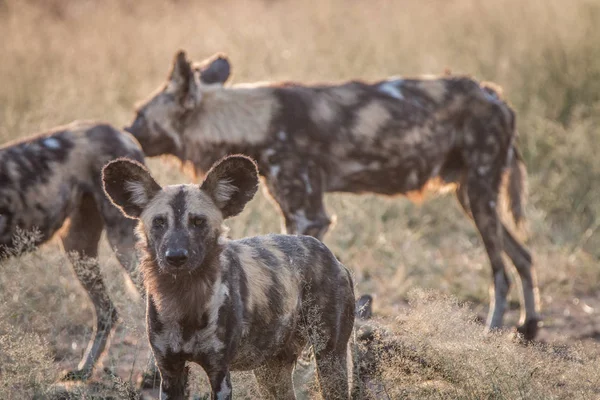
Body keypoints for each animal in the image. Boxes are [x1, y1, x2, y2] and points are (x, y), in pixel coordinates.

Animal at [102, 155, 356, 398]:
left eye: (198, 222)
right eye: (159, 222)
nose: (175, 257)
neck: (184, 299)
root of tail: (330, 255)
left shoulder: (219, 373)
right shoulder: (170, 373)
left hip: (329, 359)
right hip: (271, 371)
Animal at [126, 48, 540, 340]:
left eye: (139, 115)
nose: (124, 133)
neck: (252, 121)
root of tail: (496, 95)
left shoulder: (308, 215)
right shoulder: (293, 211)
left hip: (481, 194)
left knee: (500, 272)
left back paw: (491, 330)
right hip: (472, 197)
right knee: (523, 255)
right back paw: (528, 326)